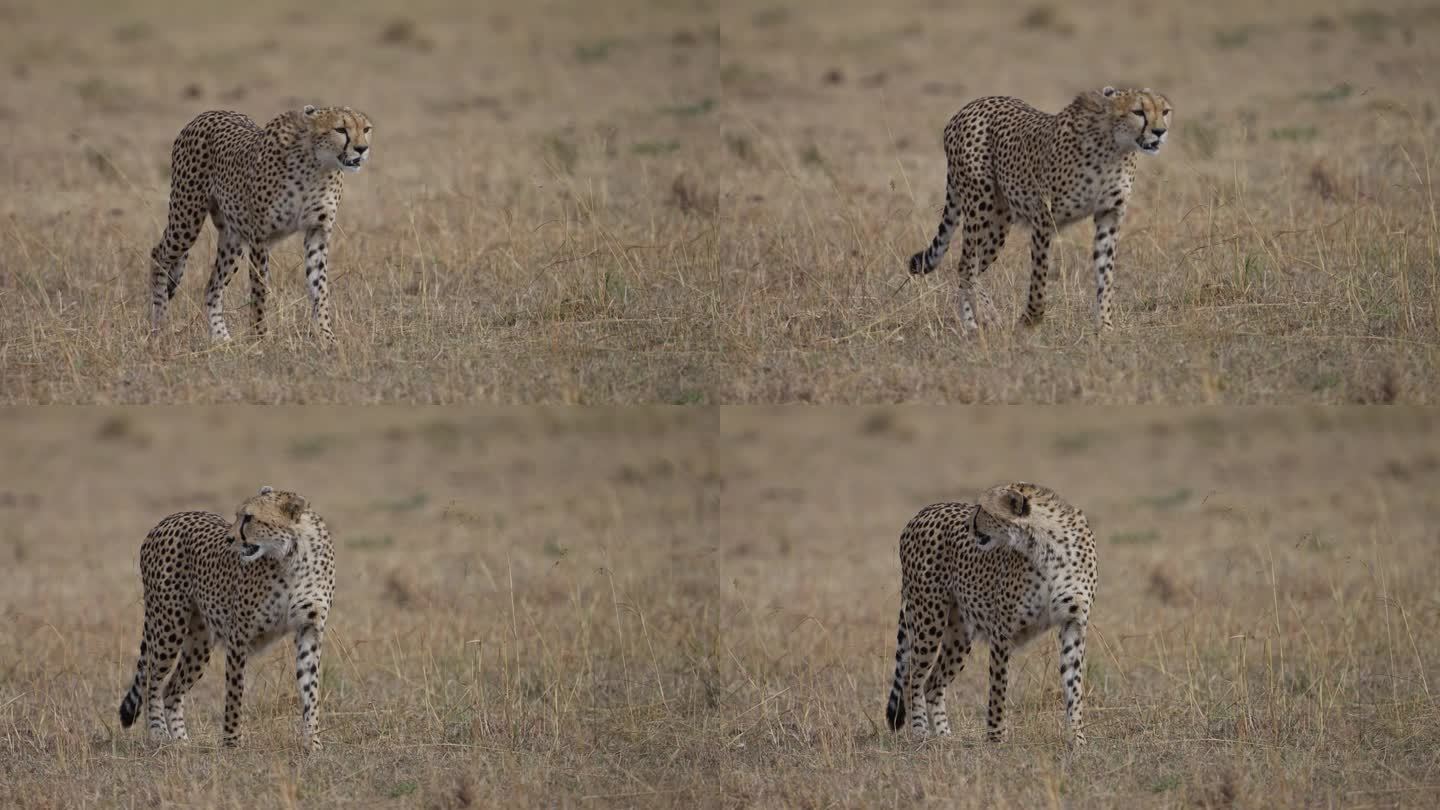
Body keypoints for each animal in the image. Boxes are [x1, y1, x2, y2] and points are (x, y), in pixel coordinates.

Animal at [118, 481, 336, 749]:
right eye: (238, 516)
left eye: (249, 517)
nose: (230, 538)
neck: (293, 555)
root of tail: (168, 519)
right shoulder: (239, 634)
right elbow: (234, 692)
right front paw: (231, 742)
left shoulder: (310, 629)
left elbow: (310, 689)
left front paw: (312, 742)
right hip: (168, 626)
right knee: (152, 680)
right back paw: (158, 734)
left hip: (199, 642)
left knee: (171, 689)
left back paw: (182, 742)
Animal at [145, 102, 368, 341]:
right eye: (340, 129)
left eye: (366, 129)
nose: (362, 149)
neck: (317, 166)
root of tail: (207, 114)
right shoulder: (260, 236)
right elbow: (260, 288)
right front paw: (260, 337)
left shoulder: (317, 232)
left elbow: (320, 287)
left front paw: (327, 337)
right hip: (187, 219)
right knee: (158, 254)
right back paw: (160, 324)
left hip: (233, 239)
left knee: (212, 287)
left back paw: (222, 339)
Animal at [881, 478, 1094, 743]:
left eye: (983, 509)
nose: (968, 525)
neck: (1048, 545)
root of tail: (923, 511)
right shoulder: (1003, 630)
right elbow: (998, 687)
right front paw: (996, 737)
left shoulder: (1073, 623)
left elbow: (1074, 684)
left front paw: (1077, 738)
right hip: (929, 619)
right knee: (912, 678)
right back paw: (921, 734)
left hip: (959, 635)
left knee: (932, 683)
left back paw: (945, 736)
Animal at [910, 85, 1169, 331]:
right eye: (1138, 111)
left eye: (1165, 111)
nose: (1160, 132)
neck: (1115, 147)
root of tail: (967, 108)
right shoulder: (1044, 217)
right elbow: (1039, 275)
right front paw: (1030, 320)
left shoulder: (1109, 215)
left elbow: (1105, 275)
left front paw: (1105, 326)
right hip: (981, 205)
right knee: (966, 264)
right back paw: (986, 317)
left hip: (998, 225)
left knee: (970, 267)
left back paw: (972, 323)